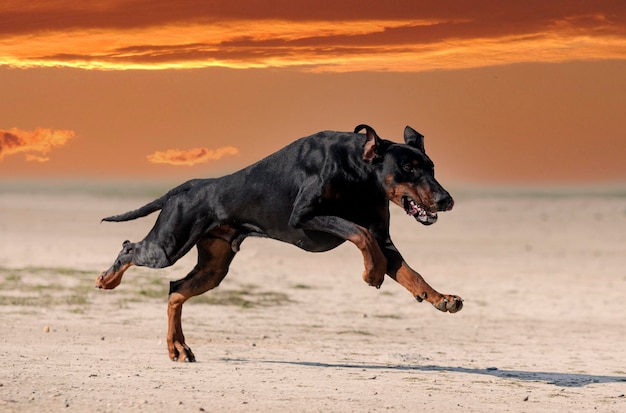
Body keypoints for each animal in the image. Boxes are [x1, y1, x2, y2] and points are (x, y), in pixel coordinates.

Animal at [96, 123, 458, 360]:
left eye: (431, 167)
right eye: (408, 168)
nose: (446, 200)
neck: (359, 170)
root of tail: (188, 185)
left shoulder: (383, 237)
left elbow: (409, 272)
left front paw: (441, 298)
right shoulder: (306, 216)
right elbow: (360, 234)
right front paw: (372, 272)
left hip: (214, 267)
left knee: (175, 290)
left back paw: (178, 347)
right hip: (168, 245)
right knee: (130, 248)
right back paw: (107, 279)